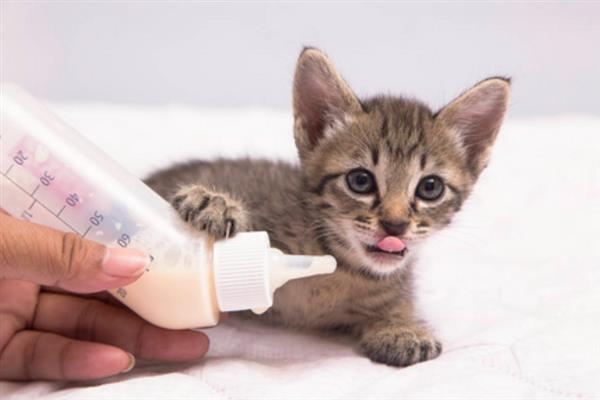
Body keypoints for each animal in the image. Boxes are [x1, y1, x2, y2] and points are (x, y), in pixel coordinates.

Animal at [145, 47, 510, 367]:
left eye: (430, 188)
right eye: (360, 181)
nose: (394, 225)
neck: (342, 265)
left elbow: (398, 304)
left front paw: (402, 328)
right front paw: (213, 203)